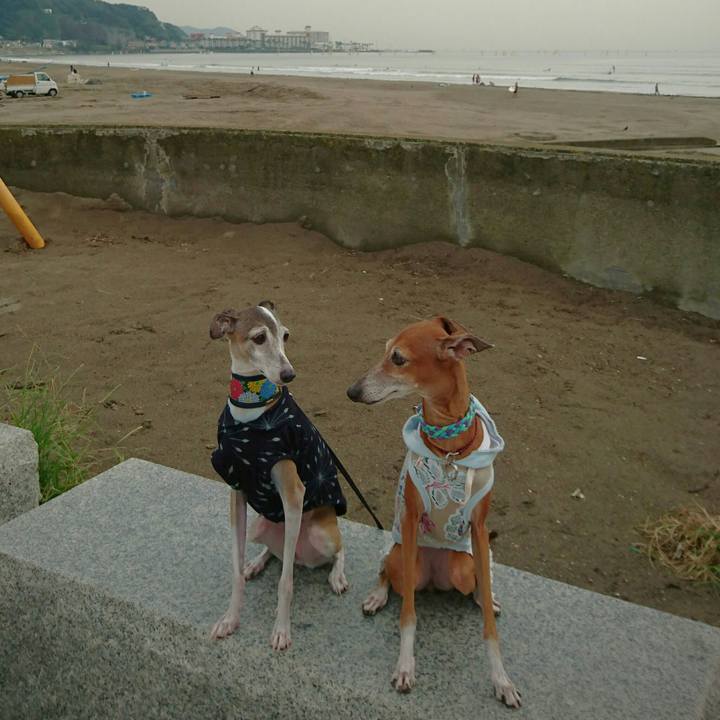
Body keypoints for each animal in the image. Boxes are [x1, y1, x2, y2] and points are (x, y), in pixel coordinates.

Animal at [209, 301, 349, 650]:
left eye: (285, 335)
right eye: (259, 337)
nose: (289, 375)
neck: (252, 411)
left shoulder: (293, 494)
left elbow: (286, 583)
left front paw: (282, 629)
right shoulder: (236, 492)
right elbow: (235, 572)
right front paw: (230, 619)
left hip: (321, 533)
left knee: (338, 550)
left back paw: (337, 576)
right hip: (262, 525)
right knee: (274, 552)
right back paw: (256, 563)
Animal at [346, 316, 521, 707]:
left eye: (397, 358)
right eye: (385, 350)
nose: (352, 391)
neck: (449, 451)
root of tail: (436, 579)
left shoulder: (479, 526)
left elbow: (489, 628)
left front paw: (501, 679)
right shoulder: (410, 521)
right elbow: (408, 614)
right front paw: (405, 666)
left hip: (464, 564)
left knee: (477, 582)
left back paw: (486, 597)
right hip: (403, 556)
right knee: (388, 570)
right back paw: (377, 595)